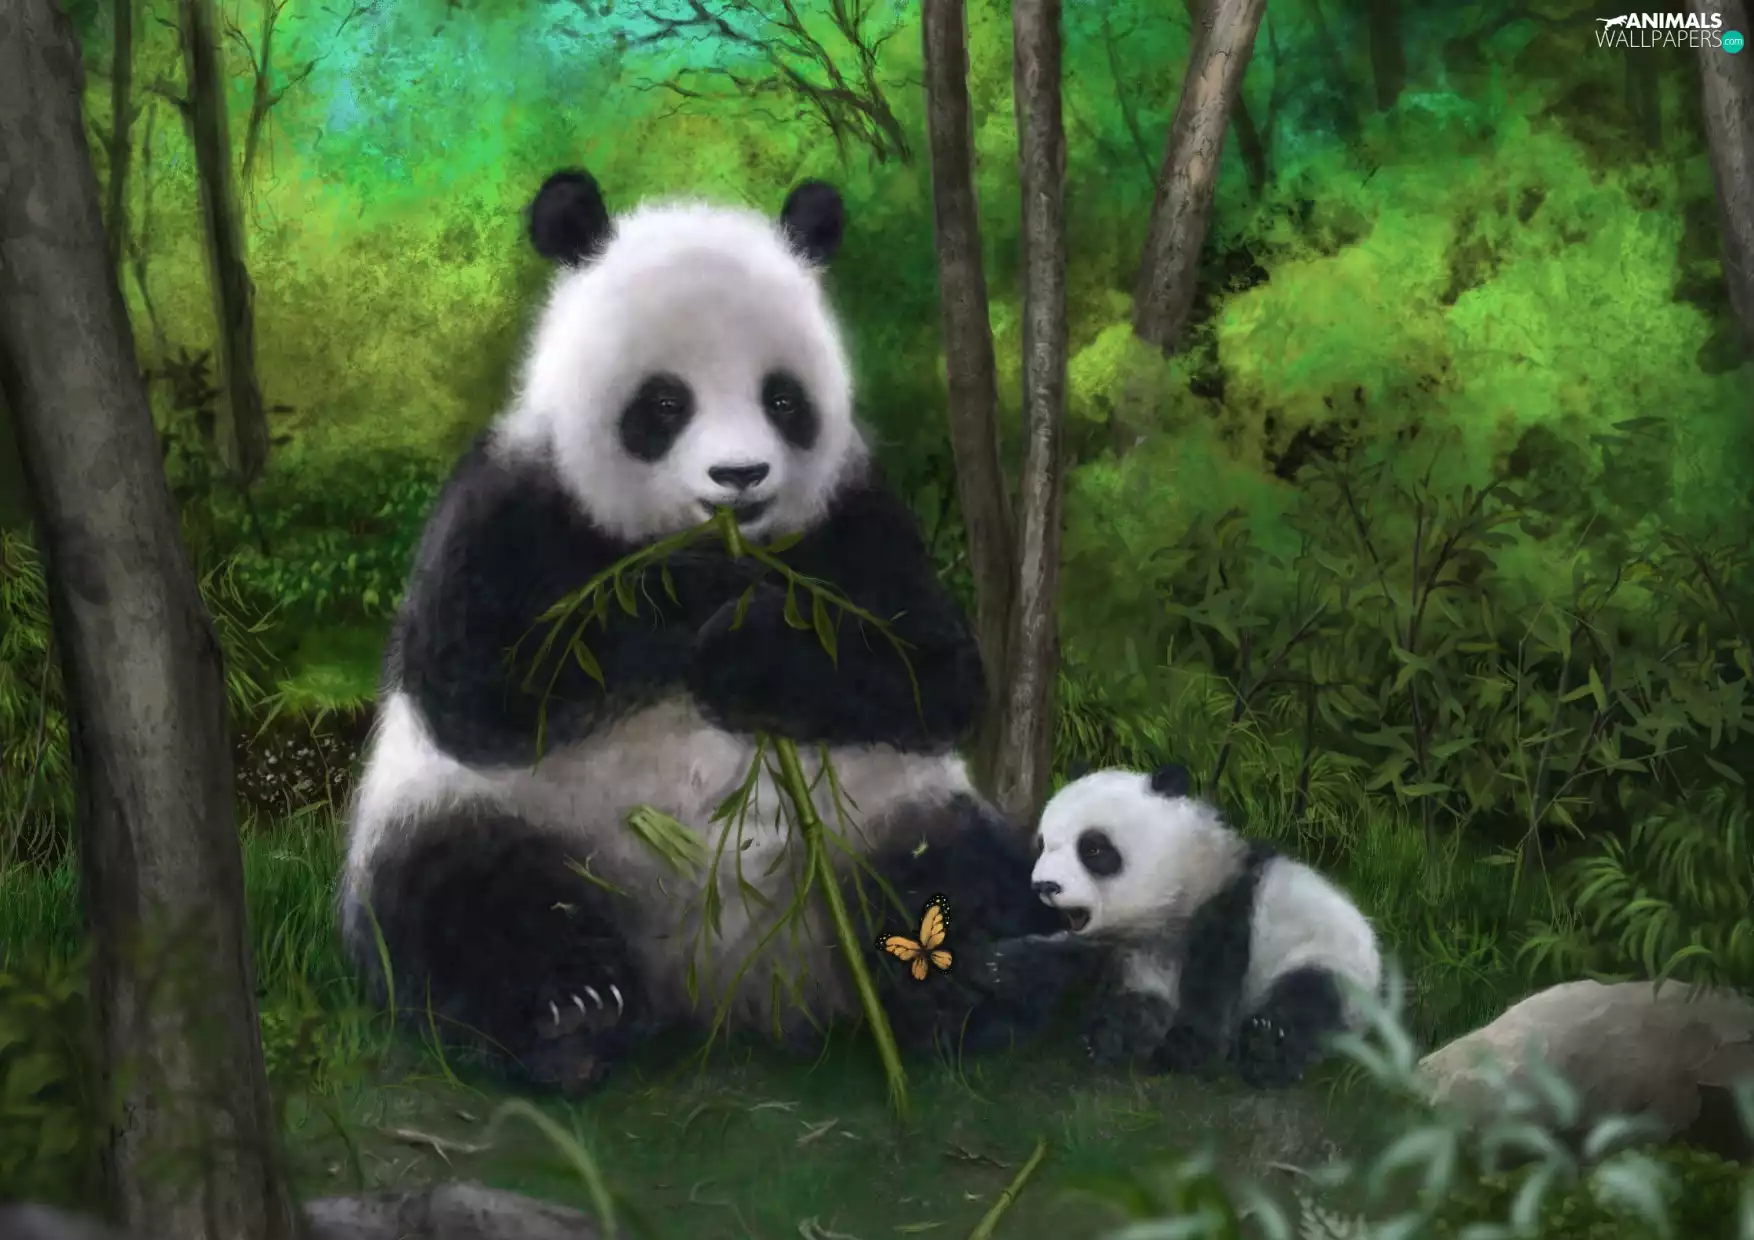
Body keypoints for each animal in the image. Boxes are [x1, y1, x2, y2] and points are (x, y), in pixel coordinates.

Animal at [338, 168, 1071, 1095]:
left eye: (783, 399)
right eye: (664, 404)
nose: (740, 476)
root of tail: (722, 983)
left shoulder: (854, 514)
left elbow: (933, 673)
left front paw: (746, 649)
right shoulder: (514, 500)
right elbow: (475, 684)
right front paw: (696, 593)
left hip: (878, 817)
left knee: (953, 869)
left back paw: (972, 981)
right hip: (499, 820)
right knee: (459, 899)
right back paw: (572, 1017)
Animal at [1025, 764, 1383, 1087]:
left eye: (1093, 848)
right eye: (1042, 845)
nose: (1044, 886)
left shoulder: (1225, 909)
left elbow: (1212, 986)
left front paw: (1186, 1049)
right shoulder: (1128, 944)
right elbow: (1132, 991)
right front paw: (1109, 1034)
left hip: (1333, 956)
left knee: (1309, 999)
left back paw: (1265, 1050)